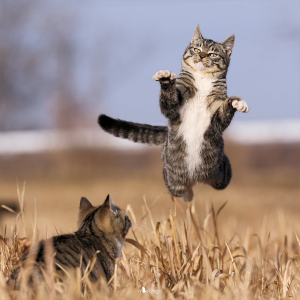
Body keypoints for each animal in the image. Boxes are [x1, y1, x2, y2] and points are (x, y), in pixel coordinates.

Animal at [98, 24, 248, 200]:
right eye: (197, 49)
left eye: (212, 54)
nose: (202, 55)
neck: (202, 79)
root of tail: (198, 180)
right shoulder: (174, 108)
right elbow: (168, 102)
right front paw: (165, 79)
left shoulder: (216, 117)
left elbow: (224, 112)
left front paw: (236, 102)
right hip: (173, 180)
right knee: (181, 191)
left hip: (221, 174)